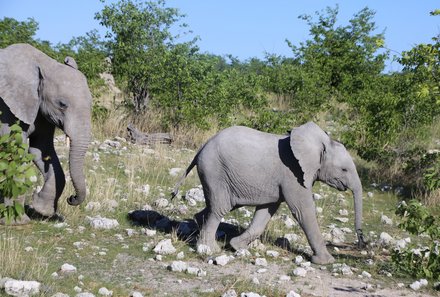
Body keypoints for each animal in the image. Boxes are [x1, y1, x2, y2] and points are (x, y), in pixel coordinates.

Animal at [0, 43, 92, 224]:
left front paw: (43, 210)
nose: (71, 198)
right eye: (62, 104)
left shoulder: (41, 110)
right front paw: (16, 222)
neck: (45, 64)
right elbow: (14, 149)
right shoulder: (6, 108)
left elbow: (41, 149)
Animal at [172, 121, 364, 264]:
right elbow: (304, 211)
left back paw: (199, 229)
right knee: (219, 208)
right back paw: (209, 249)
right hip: (215, 172)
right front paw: (326, 261)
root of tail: (202, 146)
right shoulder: (293, 174)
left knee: (217, 207)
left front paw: (236, 246)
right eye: (344, 169)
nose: (362, 242)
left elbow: (265, 212)